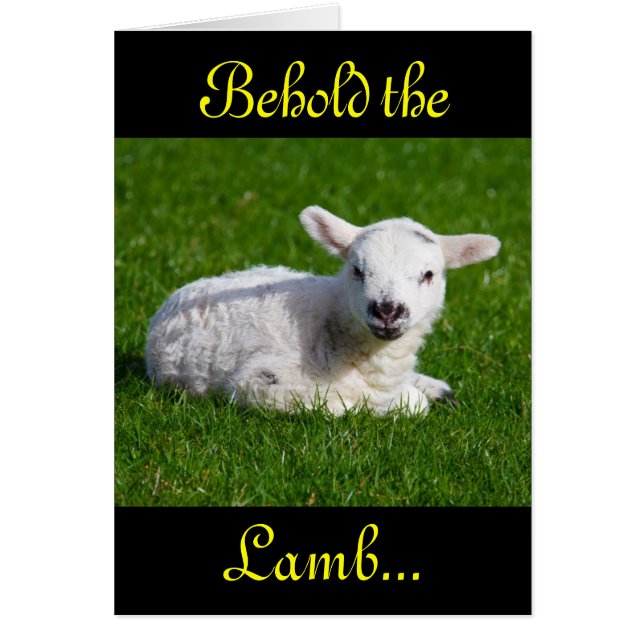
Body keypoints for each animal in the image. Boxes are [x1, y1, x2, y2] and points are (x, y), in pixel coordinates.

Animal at [145, 206, 501, 415]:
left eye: (428, 275)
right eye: (357, 270)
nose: (387, 310)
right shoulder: (259, 381)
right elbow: (341, 406)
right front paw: (398, 402)